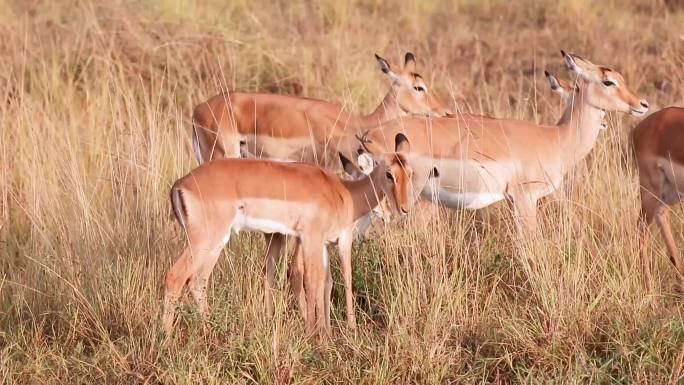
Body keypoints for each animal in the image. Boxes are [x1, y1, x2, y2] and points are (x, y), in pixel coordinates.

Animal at [163, 134, 414, 334]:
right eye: (389, 174)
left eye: (410, 173)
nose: (403, 209)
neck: (344, 193)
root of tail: (180, 184)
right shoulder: (319, 239)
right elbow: (321, 279)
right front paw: (318, 335)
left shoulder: (322, 243)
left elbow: (327, 281)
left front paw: (327, 333)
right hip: (205, 240)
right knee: (175, 276)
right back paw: (166, 338)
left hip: (215, 243)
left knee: (198, 281)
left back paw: (208, 330)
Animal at [356, 51, 648, 231]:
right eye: (608, 81)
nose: (642, 105)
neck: (555, 139)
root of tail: (368, 136)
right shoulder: (525, 198)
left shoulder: (512, 201)